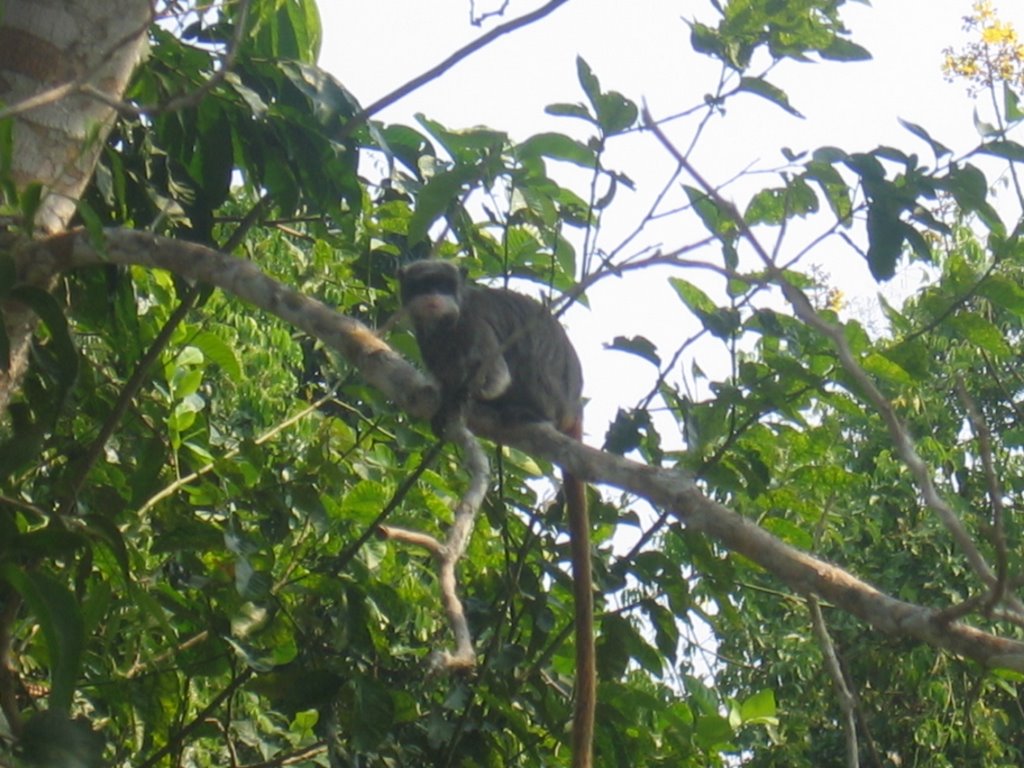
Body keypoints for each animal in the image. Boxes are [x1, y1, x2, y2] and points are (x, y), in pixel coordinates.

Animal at [395, 260, 598, 768]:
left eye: (443, 284)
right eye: (422, 285)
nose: (433, 297)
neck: (445, 324)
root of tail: (572, 408)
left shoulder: (474, 328)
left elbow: (493, 376)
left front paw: (463, 400)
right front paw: (446, 397)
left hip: (548, 395)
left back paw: (521, 411)